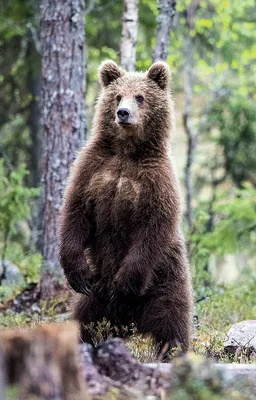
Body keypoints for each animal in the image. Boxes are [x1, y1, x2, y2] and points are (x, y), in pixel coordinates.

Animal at [59, 60, 193, 356]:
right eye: (118, 95)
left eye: (140, 97)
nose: (123, 113)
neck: (126, 152)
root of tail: (128, 322)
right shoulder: (92, 170)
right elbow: (75, 212)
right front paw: (76, 272)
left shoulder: (157, 182)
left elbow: (153, 227)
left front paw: (125, 283)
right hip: (96, 296)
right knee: (84, 322)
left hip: (166, 281)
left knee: (172, 321)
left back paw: (171, 352)